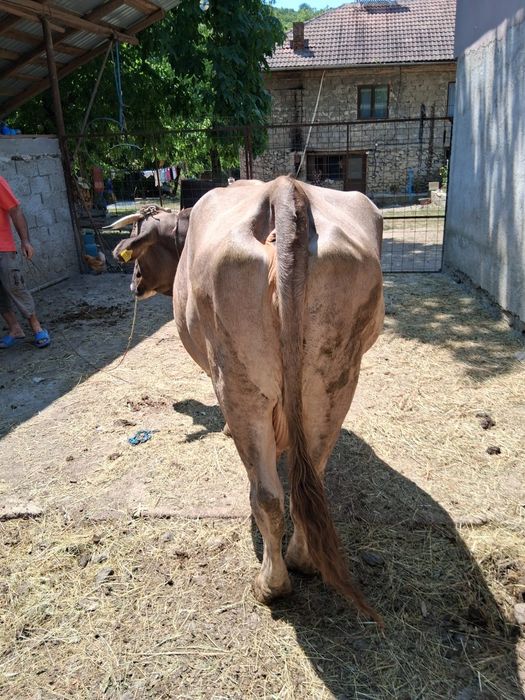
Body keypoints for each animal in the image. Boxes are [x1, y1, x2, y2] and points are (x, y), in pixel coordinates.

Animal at [113, 177, 384, 623]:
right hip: (333, 381)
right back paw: (303, 560)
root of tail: (285, 190)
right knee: (309, 482)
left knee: (268, 497)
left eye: (140, 245)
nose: (133, 283)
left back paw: (270, 585)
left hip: (241, 384)